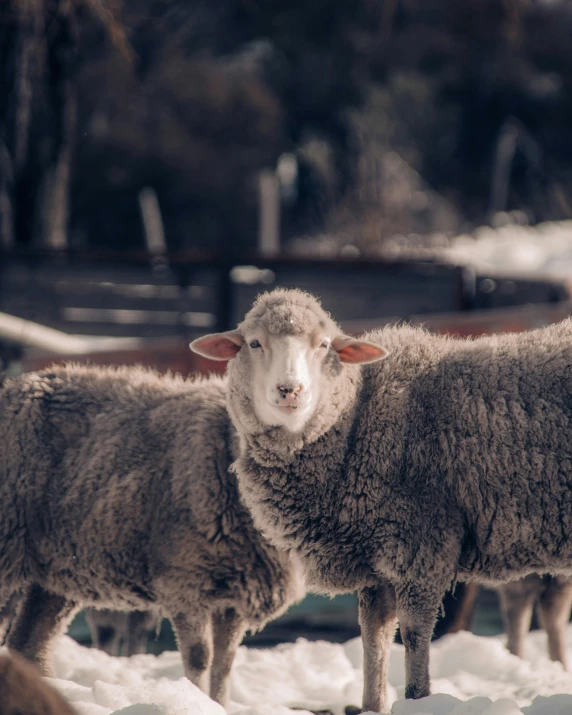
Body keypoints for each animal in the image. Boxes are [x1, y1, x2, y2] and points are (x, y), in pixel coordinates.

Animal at [0, 366, 304, 708]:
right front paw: (195, 700)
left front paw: (220, 704)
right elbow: (200, 657)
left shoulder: (236, 595)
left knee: (28, 645)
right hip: (8, 543)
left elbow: (224, 664)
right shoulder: (186, 582)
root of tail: (16, 384)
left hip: (55, 569)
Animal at [190, 290, 572, 715]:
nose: (290, 391)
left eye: (323, 346)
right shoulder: (375, 557)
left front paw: (419, 698)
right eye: (254, 343)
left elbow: (415, 635)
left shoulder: (421, 546)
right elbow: (373, 637)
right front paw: (372, 703)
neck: (354, 421)